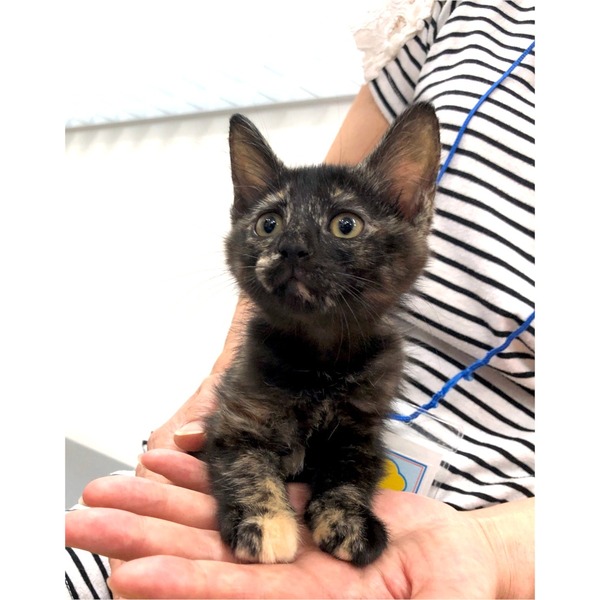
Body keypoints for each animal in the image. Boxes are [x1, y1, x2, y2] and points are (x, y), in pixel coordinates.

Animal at [202, 103, 440, 567]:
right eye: (269, 224)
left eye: (346, 225)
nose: (292, 247)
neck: (321, 363)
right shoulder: (235, 420)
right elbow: (249, 469)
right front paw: (265, 524)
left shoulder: (362, 434)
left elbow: (350, 478)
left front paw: (349, 521)